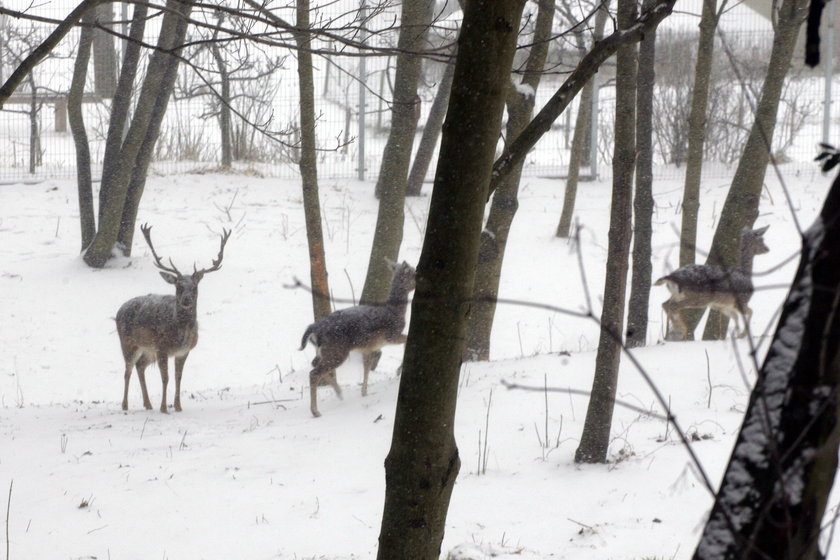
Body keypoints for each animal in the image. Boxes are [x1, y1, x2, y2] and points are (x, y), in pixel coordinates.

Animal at [116, 223, 231, 412]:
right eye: (178, 286)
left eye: (194, 286)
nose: (186, 299)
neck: (180, 333)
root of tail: (118, 311)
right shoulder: (162, 348)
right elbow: (166, 378)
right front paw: (164, 408)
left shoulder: (183, 351)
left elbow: (178, 378)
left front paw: (178, 407)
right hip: (128, 343)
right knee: (127, 370)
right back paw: (125, 405)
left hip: (148, 349)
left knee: (140, 366)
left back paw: (148, 404)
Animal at [302, 262, 416, 416]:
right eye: (415, 273)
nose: (419, 278)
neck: (395, 312)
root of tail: (314, 327)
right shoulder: (391, 335)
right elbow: (406, 339)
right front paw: (398, 370)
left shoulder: (370, 347)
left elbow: (366, 367)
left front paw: (364, 392)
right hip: (337, 350)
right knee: (314, 373)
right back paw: (316, 411)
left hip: (324, 350)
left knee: (314, 364)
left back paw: (339, 393)